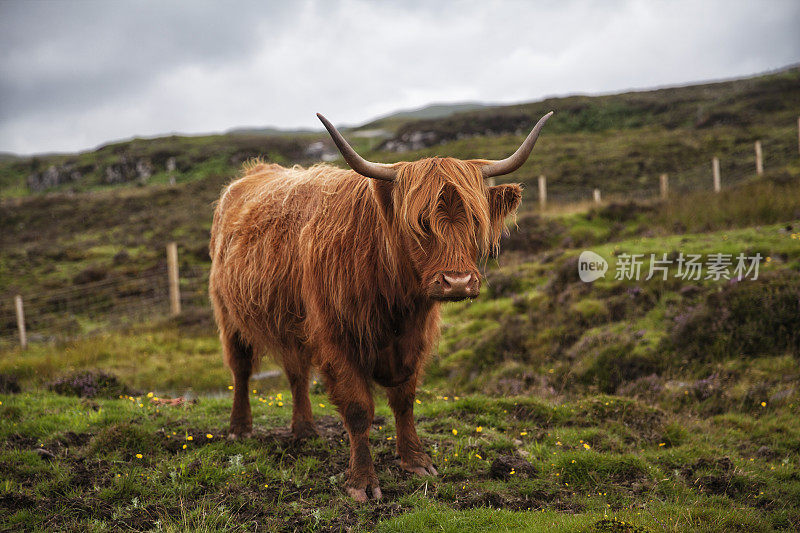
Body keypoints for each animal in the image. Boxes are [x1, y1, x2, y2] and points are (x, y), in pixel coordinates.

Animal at [209, 110, 552, 500]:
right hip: (229, 314)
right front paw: (362, 482)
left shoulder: (413, 340)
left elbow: (404, 400)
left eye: (476, 220)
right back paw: (240, 428)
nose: (458, 282)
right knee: (241, 369)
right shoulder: (337, 338)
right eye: (420, 223)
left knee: (297, 373)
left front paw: (416, 461)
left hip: (294, 323)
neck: (396, 304)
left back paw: (305, 431)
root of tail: (252, 173)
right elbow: (359, 410)